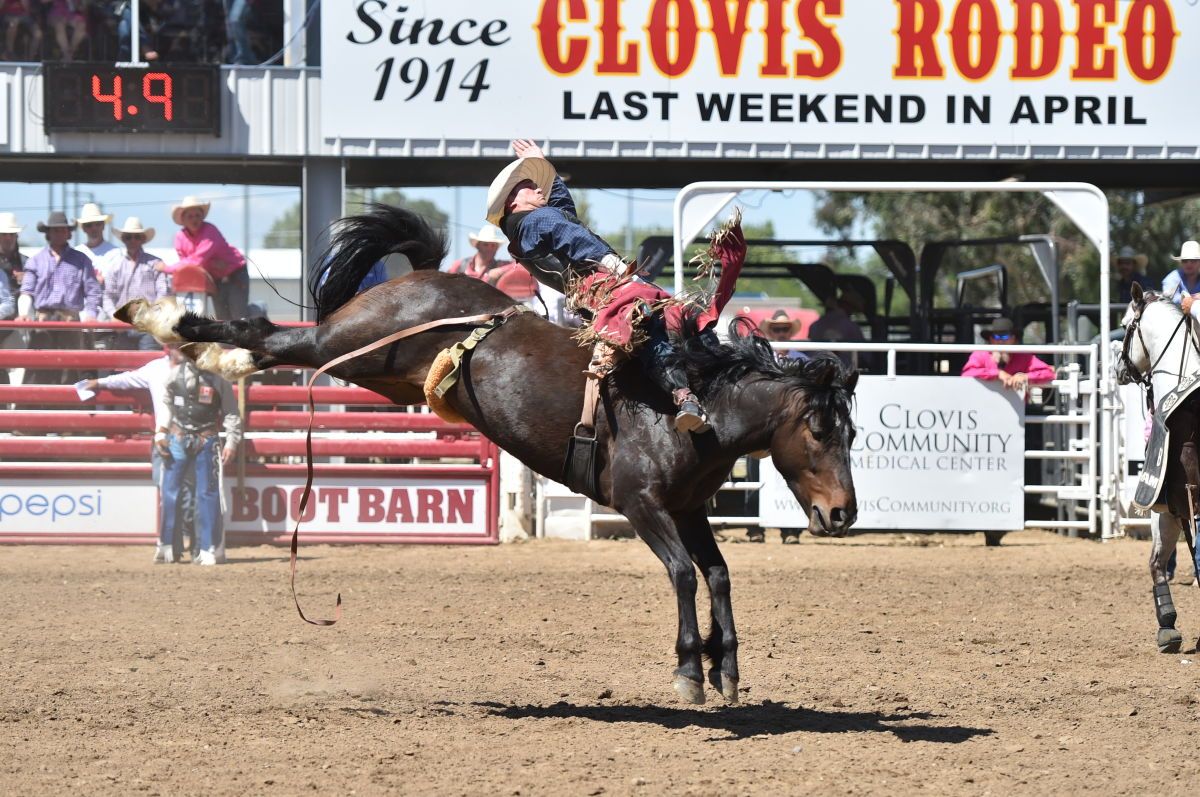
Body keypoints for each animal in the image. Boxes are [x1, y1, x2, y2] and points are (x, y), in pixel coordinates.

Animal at [117, 205, 859, 705]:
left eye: (852, 434)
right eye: (821, 429)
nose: (843, 514)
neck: (692, 400)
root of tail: (419, 278)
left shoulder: (689, 509)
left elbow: (718, 574)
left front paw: (725, 668)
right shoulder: (641, 505)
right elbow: (682, 574)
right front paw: (687, 672)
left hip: (376, 370)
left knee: (267, 340)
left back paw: (203, 349)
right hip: (348, 342)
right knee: (267, 333)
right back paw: (165, 320)